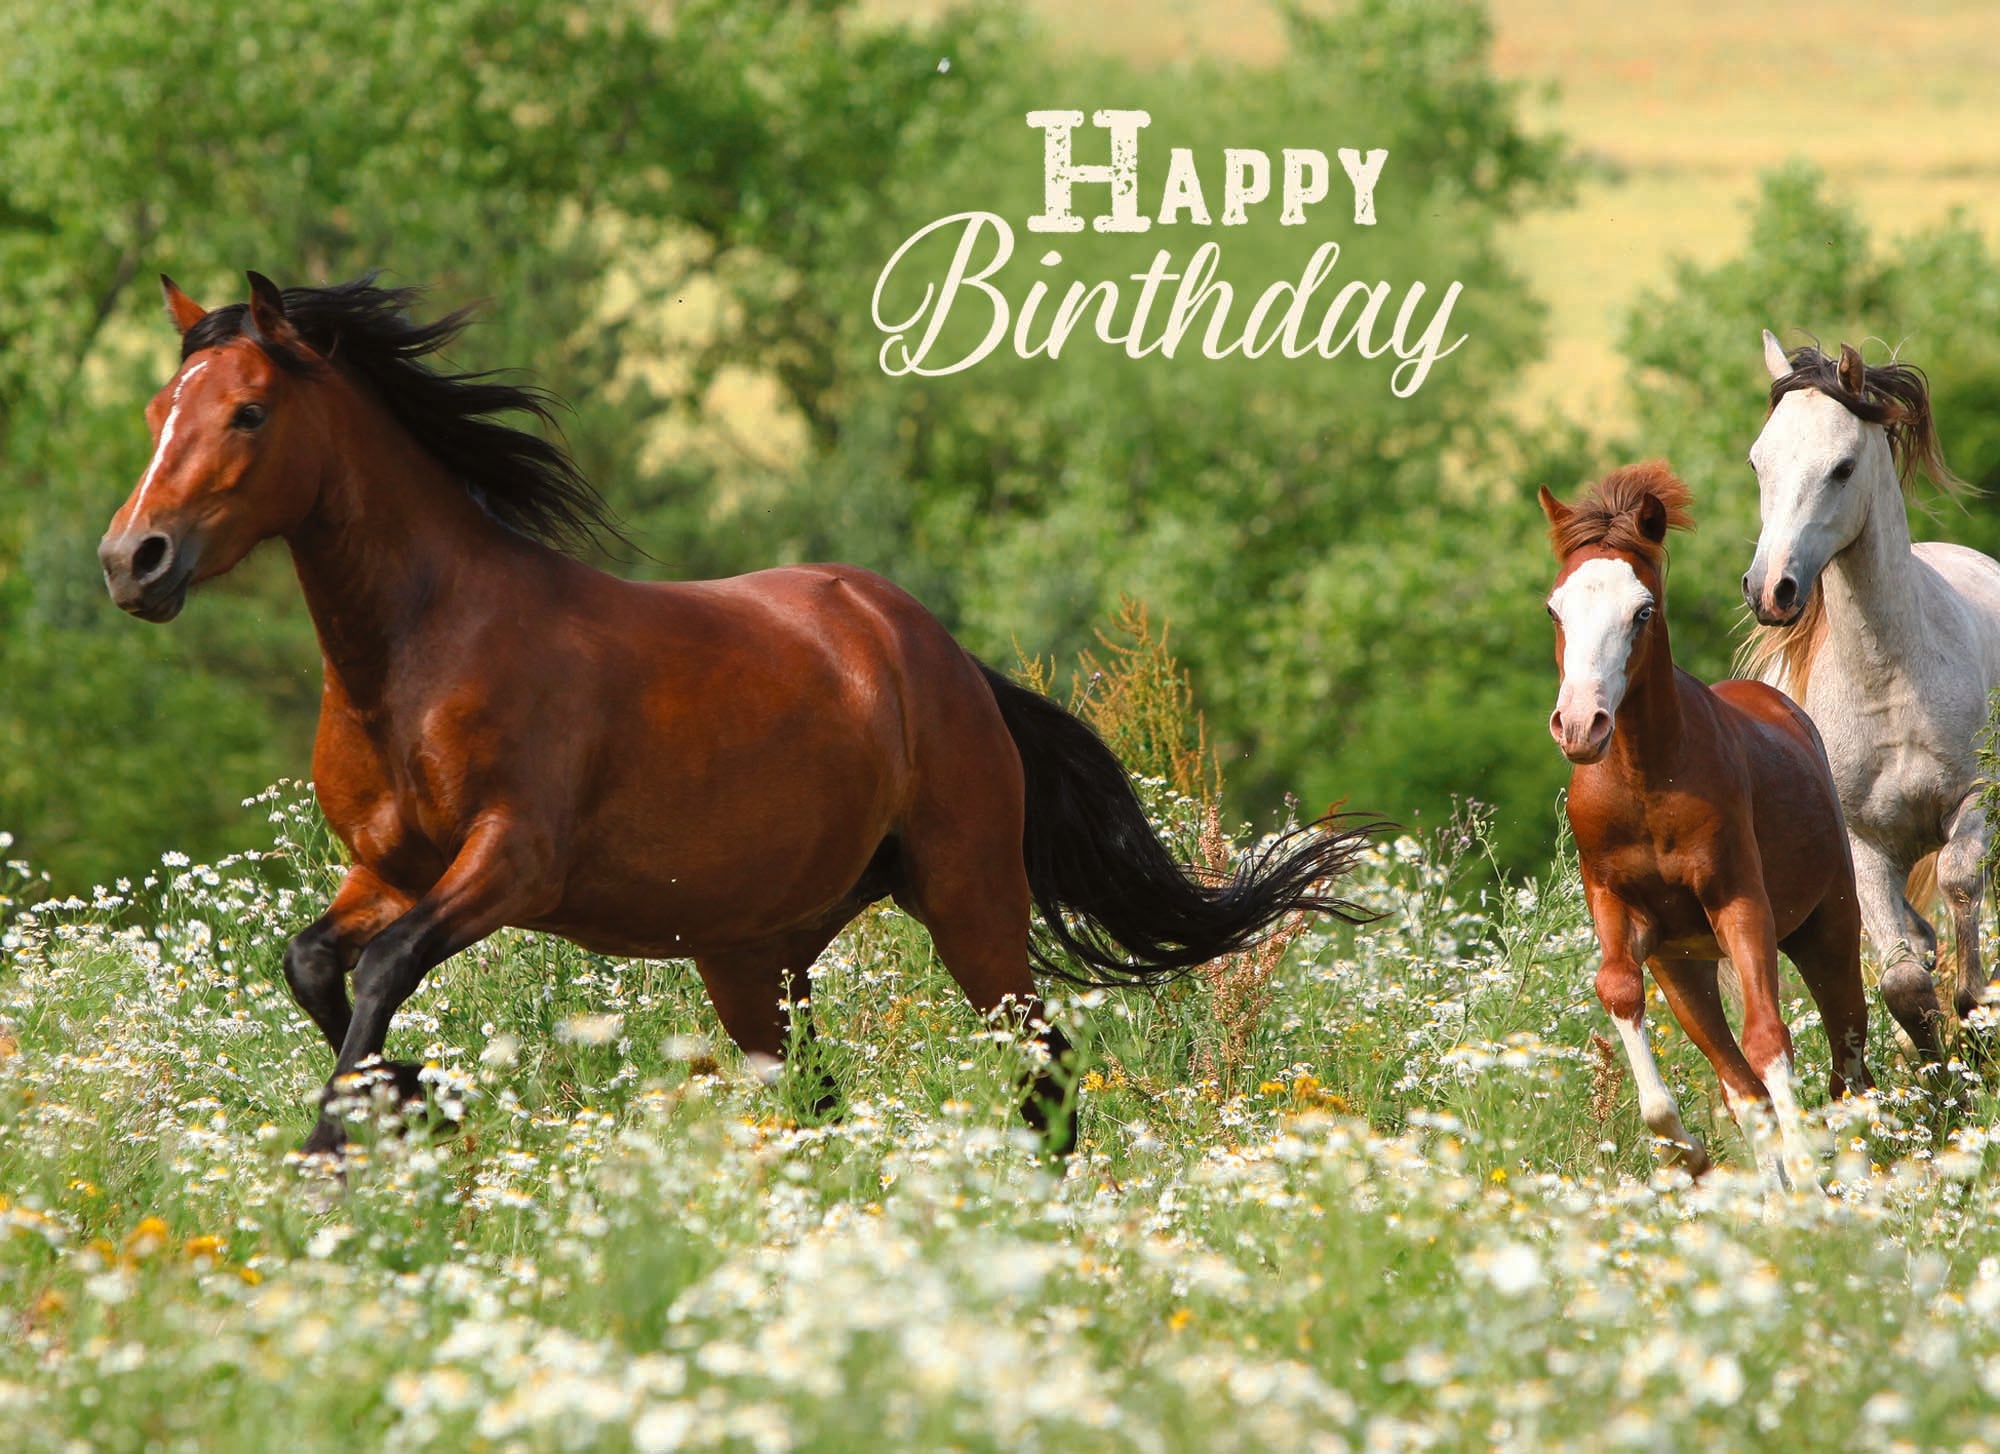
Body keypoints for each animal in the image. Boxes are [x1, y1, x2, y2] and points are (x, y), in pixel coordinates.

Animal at [98, 272, 1372, 1159]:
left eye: (249, 412)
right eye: (160, 406)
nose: (131, 560)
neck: (421, 653)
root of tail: (939, 655)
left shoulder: (512, 861)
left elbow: (382, 969)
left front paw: (346, 1131)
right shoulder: (388, 867)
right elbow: (313, 960)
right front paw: (413, 1095)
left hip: (968, 900)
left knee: (1045, 1067)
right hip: (755, 954)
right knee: (821, 1092)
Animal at [1541, 463, 1869, 1183]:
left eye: (1642, 611)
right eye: (1554, 608)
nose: (1580, 725)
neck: (1646, 783)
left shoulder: (1739, 903)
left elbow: (1769, 1037)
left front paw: (1804, 1173)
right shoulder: (1623, 911)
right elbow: (1618, 990)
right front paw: (1682, 1150)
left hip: (1827, 926)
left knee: (1849, 1054)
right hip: (1686, 969)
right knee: (1740, 1083)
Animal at [1741, 334, 2000, 1060]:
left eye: (1842, 467)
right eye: (1758, 461)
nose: (1770, 589)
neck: (1889, 687)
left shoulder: (1976, 798)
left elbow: (1960, 878)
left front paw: (1974, 1004)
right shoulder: (1862, 845)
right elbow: (1904, 980)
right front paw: (1940, 1066)